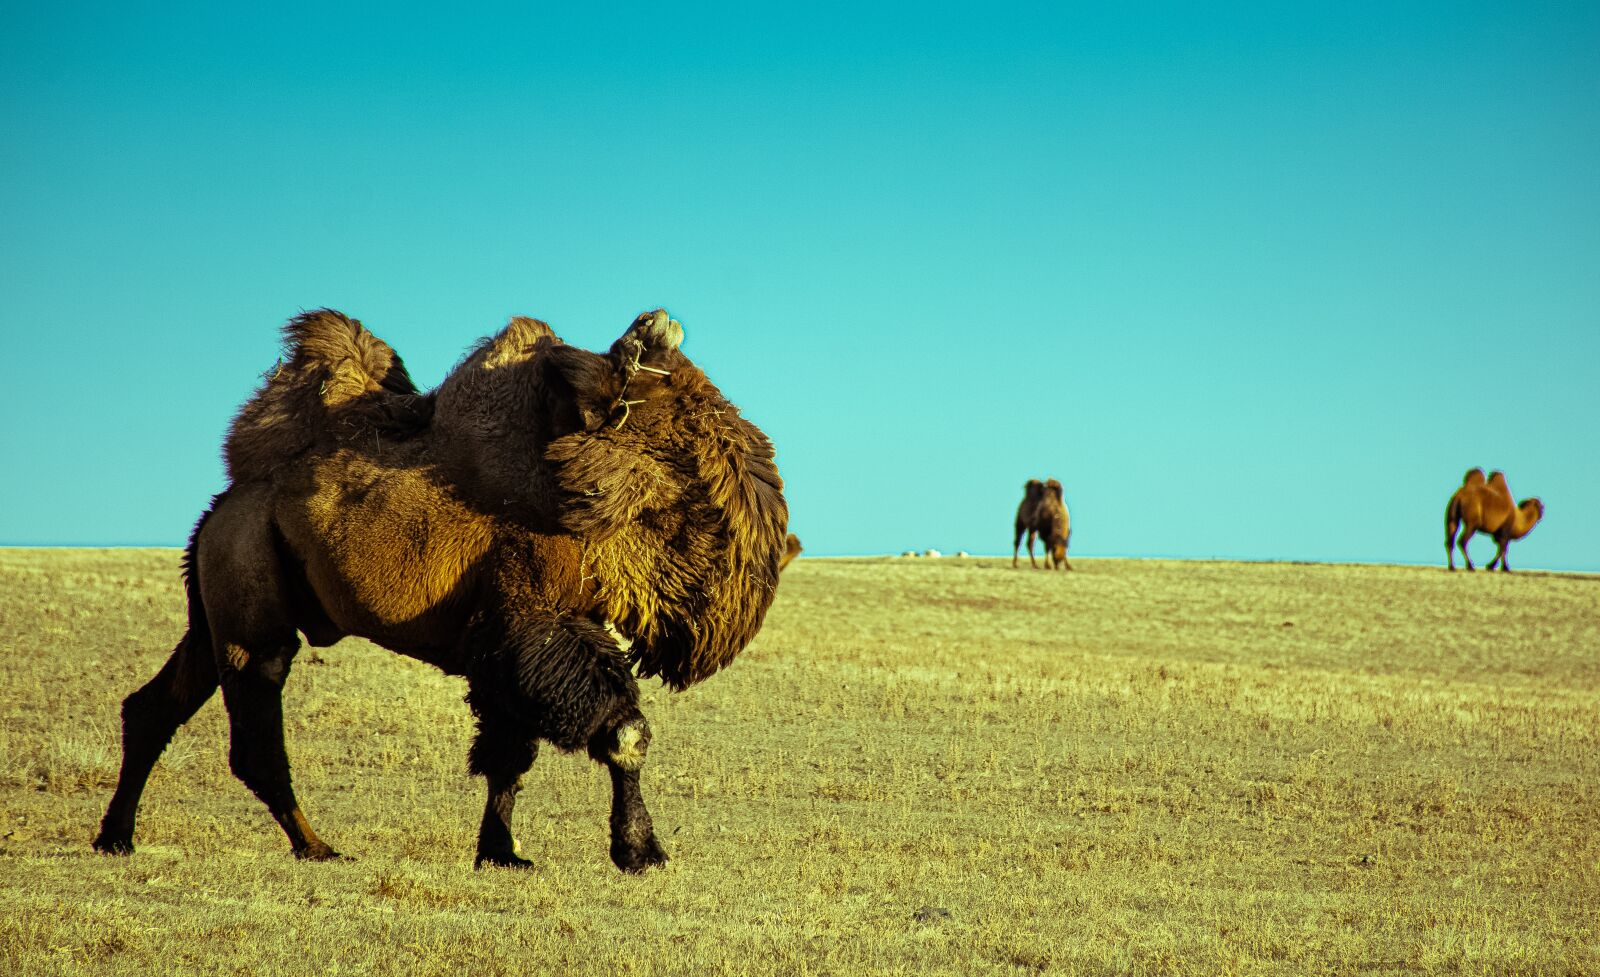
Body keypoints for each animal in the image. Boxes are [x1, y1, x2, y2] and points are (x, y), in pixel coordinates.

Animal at [94, 308, 788, 873]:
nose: (655, 323)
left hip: (213, 610)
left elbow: (509, 752)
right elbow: (622, 733)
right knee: (255, 736)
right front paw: (641, 851)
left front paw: (502, 853)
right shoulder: (533, 623)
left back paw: (116, 837)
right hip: (252, 613)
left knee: (154, 706)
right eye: (659, 383)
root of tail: (224, 505)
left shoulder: (505, 645)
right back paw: (317, 847)